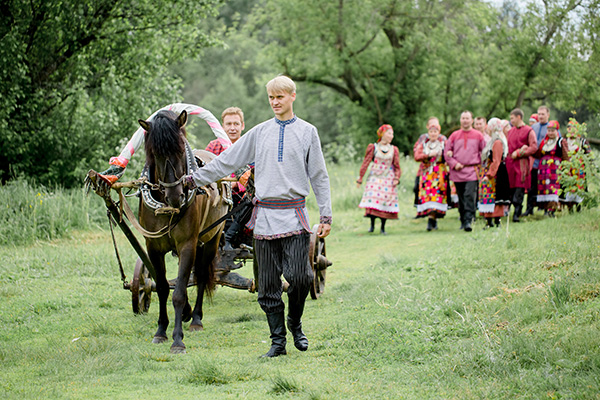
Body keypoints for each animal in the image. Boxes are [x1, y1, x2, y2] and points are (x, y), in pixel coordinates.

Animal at [138, 109, 228, 354]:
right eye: (155, 154)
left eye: (180, 150)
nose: (175, 196)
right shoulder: (153, 247)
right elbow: (161, 287)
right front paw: (160, 331)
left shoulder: (188, 244)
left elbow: (179, 292)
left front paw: (178, 339)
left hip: (212, 238)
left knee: (201, 275)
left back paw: (196, 318)